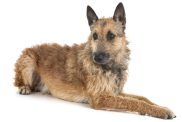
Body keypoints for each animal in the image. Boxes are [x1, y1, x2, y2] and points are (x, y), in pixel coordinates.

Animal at [13, 2, 176, 119]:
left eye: (111, 35)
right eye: (95, 36)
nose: (96, 57)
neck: (111, 66)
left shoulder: (115, 91)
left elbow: (142, 98)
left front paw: (161, 107)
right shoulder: (101, 98)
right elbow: (133, 102)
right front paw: (160, 111)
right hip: (28, 60)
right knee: (20, 82)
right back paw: (24, 87)